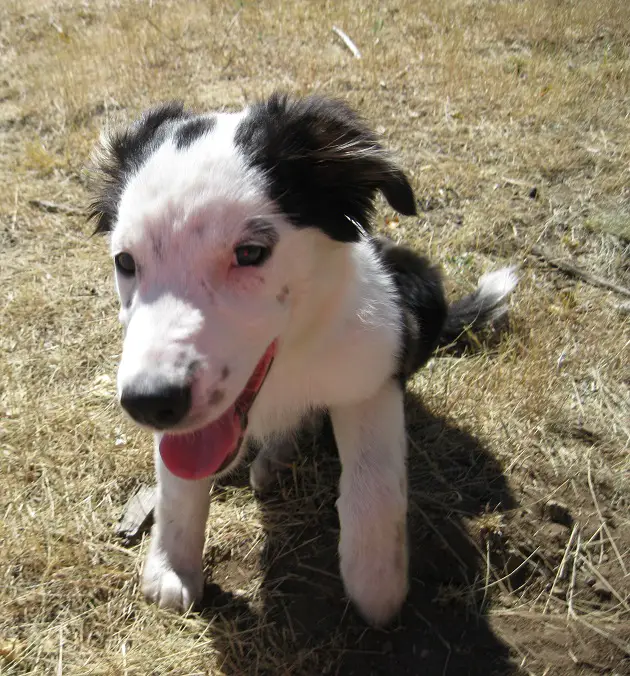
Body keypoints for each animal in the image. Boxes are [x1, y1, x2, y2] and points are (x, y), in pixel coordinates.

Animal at [90, 92, 520, 624]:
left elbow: (374, 482)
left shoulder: (374, 368)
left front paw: (376, 583)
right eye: (125, 262)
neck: (289, 362)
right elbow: (178, 486)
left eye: (250, 253)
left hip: (420, 286)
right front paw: (172, 566)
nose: (150, 404)